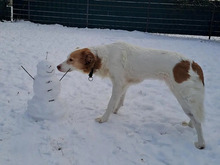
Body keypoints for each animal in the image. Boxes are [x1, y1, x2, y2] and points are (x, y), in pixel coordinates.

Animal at [57, 41, 205, 150]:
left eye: (70, 60)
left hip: (182, 95)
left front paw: (104, 119)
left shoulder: (118, 84)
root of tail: (193, 63)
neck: (104, 57)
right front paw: (116, 111)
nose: (57, 66)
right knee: (194, 115)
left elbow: (110, 103)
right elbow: (120, 101)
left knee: (197, 120)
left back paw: (200, 143)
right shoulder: (124, 84)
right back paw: (189, 125)